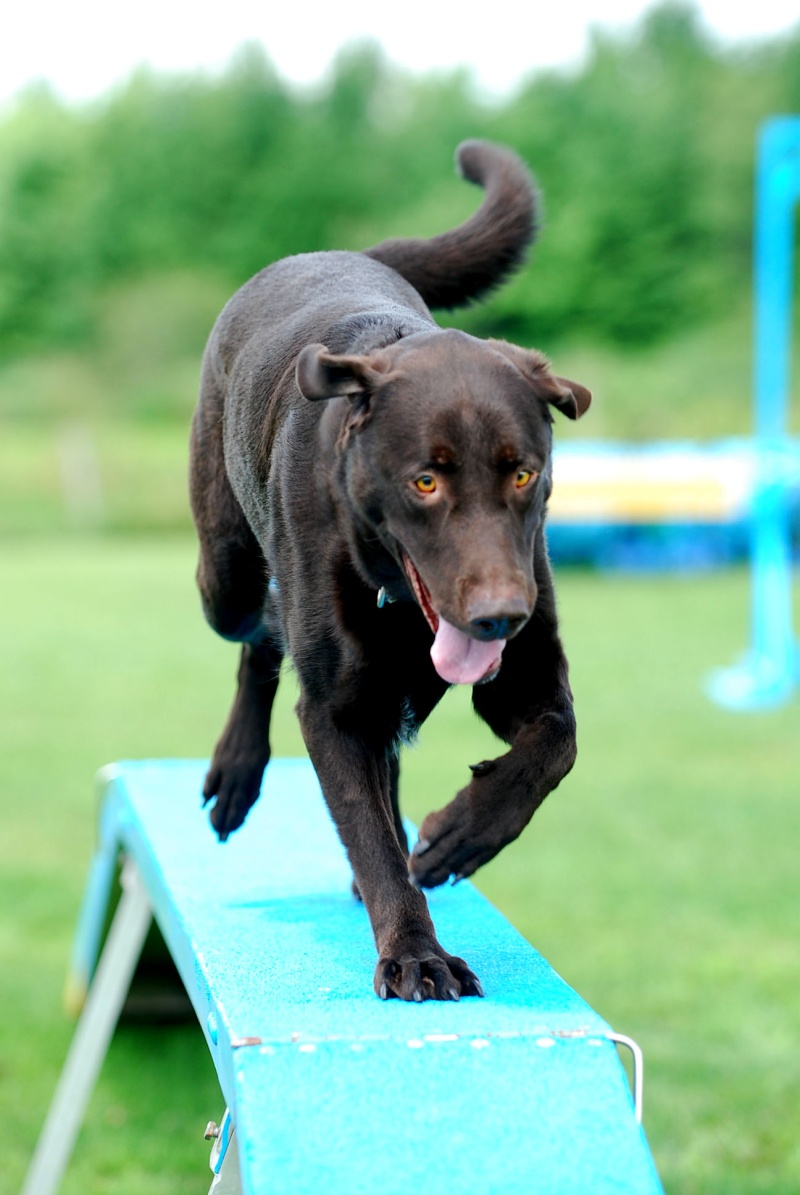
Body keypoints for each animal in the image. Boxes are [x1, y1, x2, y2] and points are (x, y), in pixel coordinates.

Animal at [187, 137, 585, 999]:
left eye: (524, 473)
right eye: (425, 481)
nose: (501, 615)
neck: (398, 596)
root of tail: (341, 254)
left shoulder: (522, 673)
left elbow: (554, 743)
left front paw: (460, 835)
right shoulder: (336, 709)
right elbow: (368, 831)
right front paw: (416, 953)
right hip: (224, 575)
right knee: (260, 632)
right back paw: (237, 771)